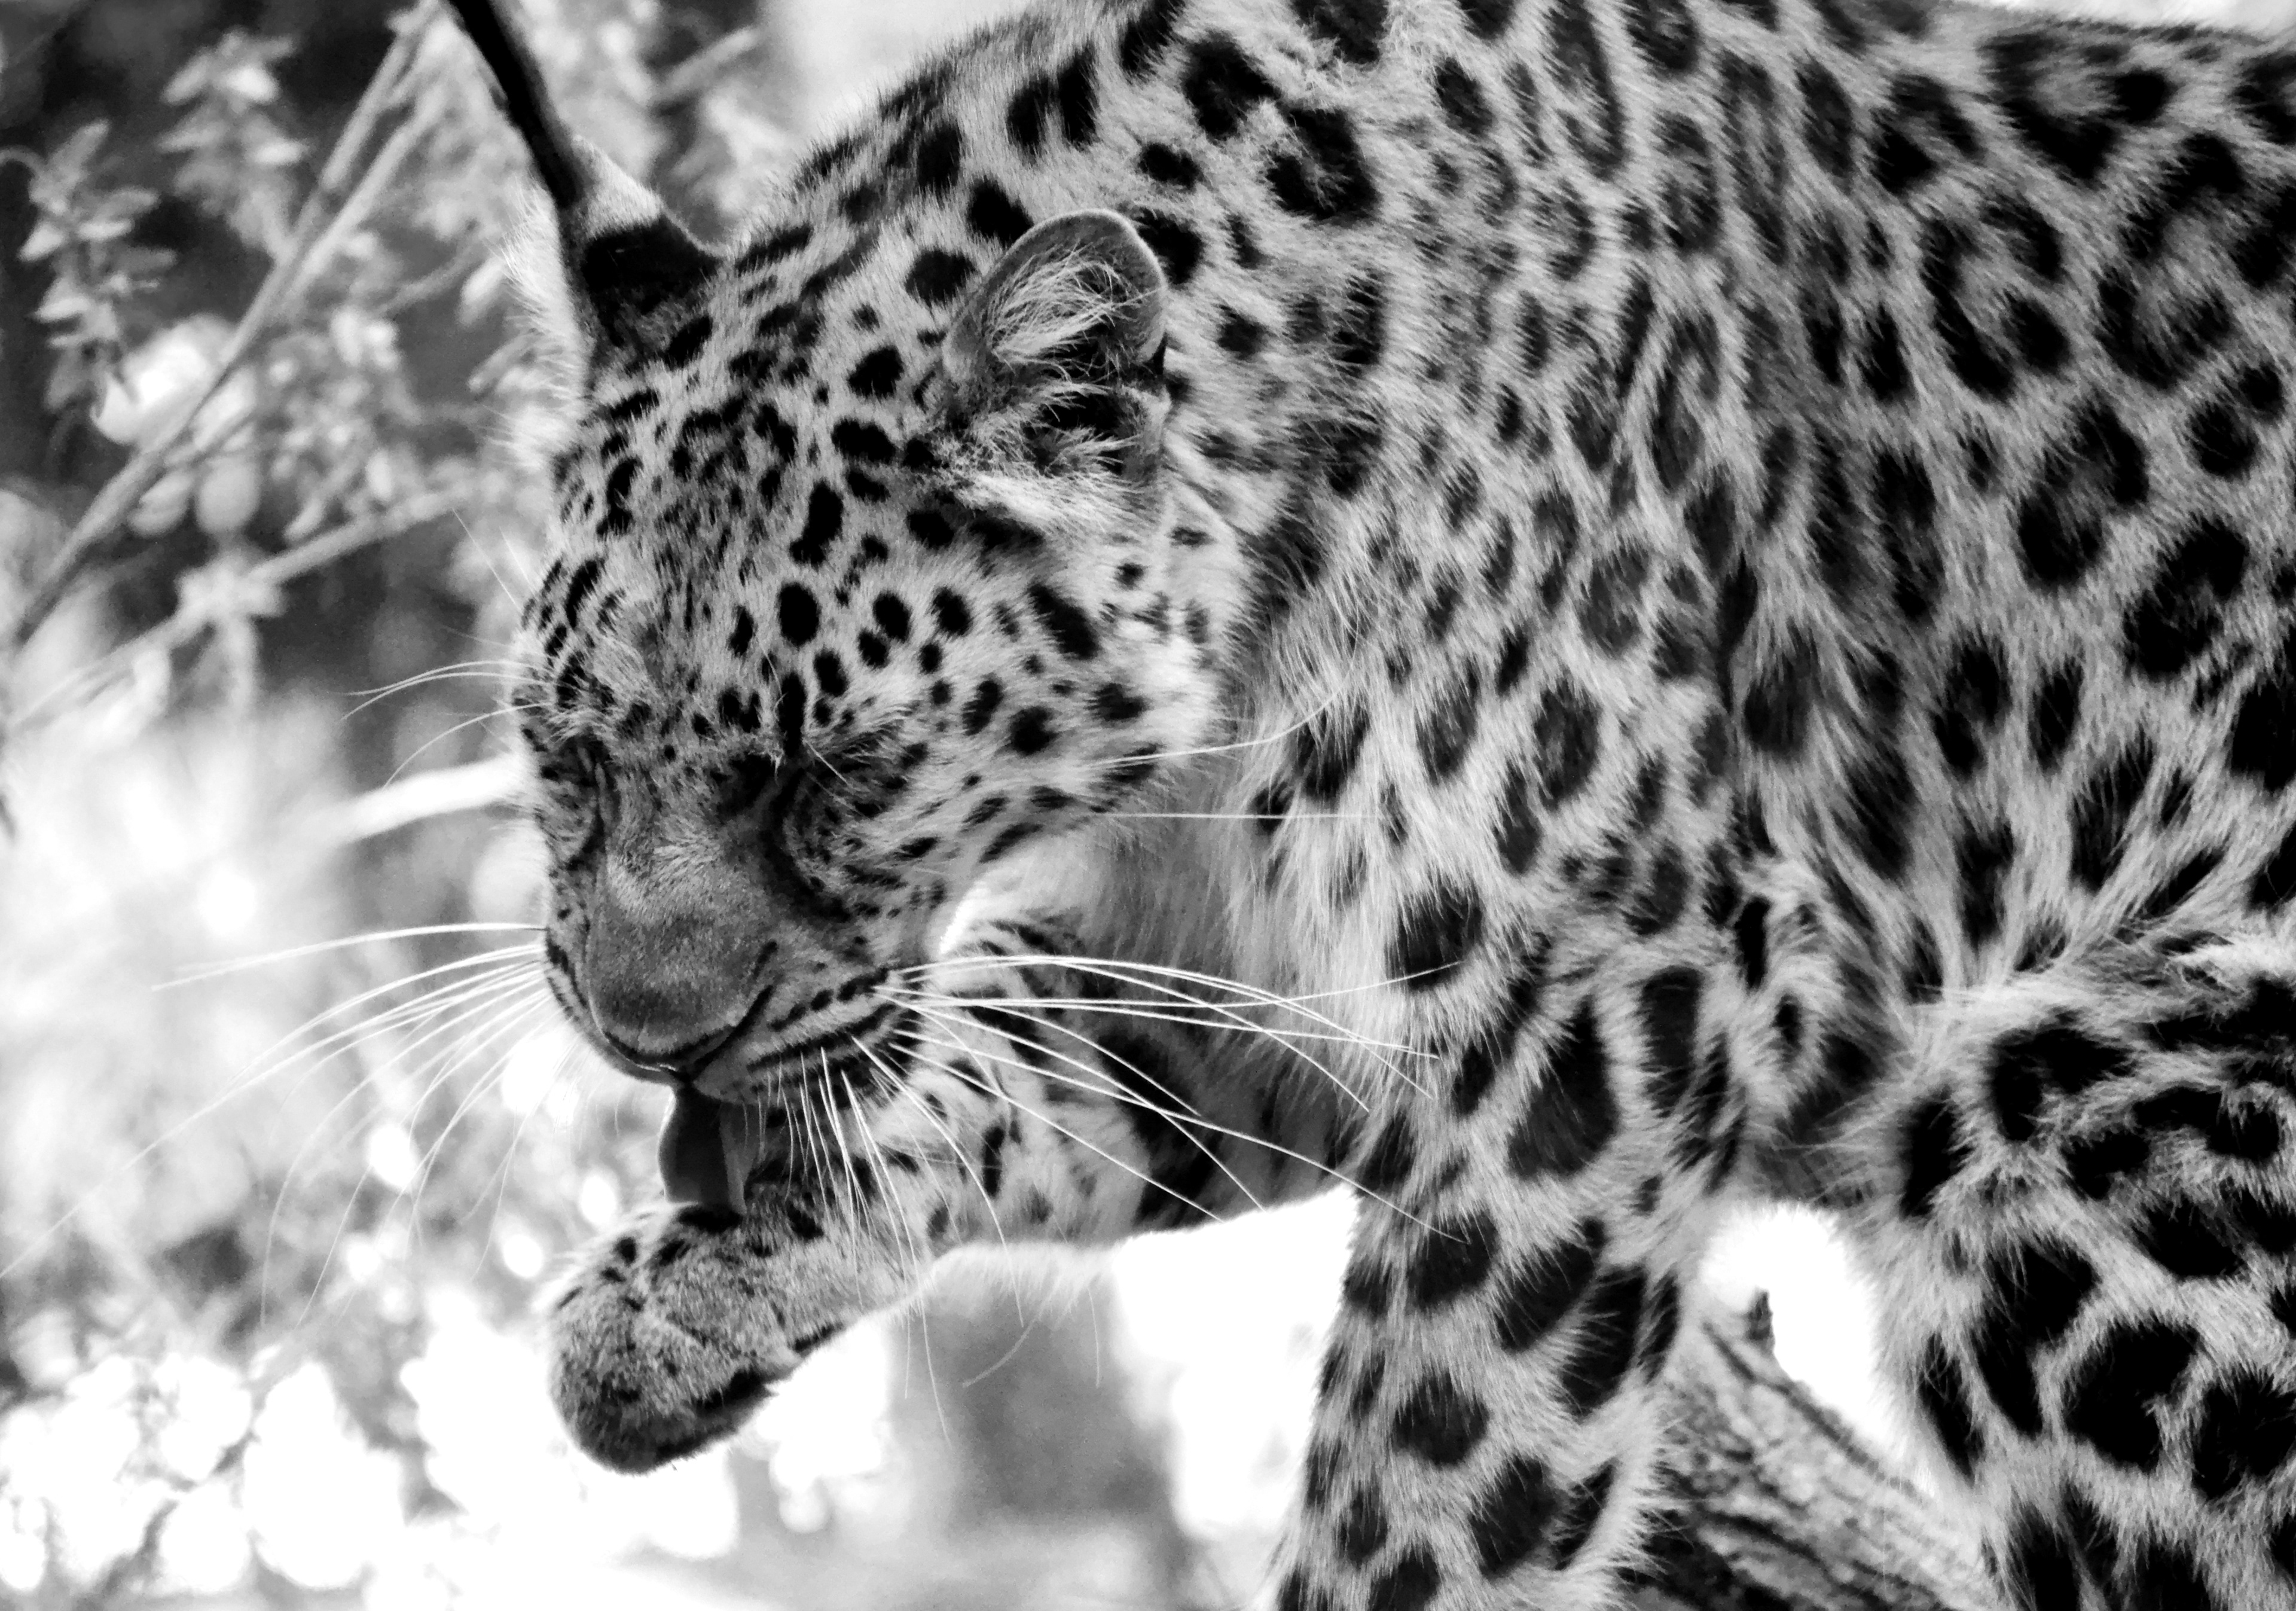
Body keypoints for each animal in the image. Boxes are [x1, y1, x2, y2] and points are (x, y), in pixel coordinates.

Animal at [440, 0, 2296, 1601]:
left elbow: (1435, 1470)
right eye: (568, 752)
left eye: (836, 769)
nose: (646, 1040)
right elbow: (997, 1058)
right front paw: (669, 1298)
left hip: (2093, 1111)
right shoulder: (1235, 973)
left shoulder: (1592, 1009)